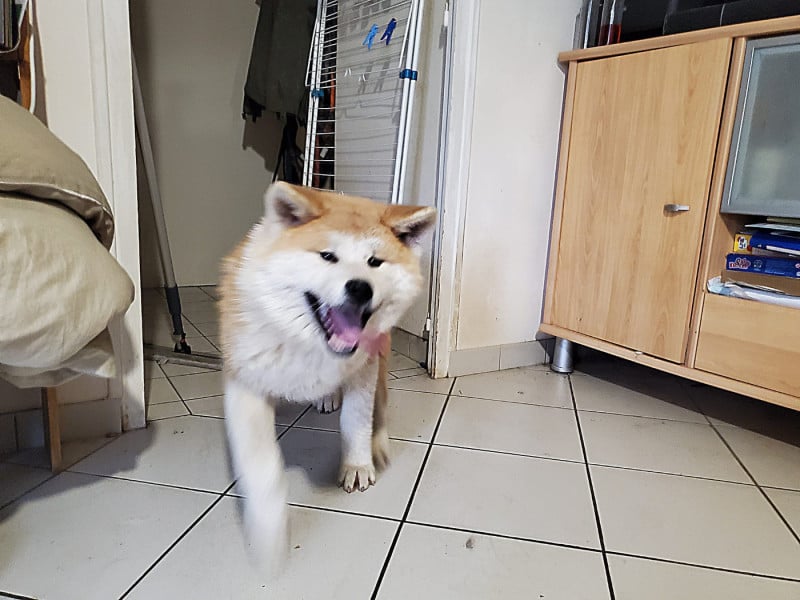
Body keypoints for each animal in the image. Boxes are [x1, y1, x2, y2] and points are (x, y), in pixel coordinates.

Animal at [218, 182, 436, 569]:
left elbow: (356, 422)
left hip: (381, 357)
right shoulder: (247, 384)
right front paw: (269, 533)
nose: (360, 287)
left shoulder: (364, 369)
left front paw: (357, 465)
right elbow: (261, 465)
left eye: (375, 261)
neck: (310, 343)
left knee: (380, 407)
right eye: (327, 256)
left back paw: (377, 443)